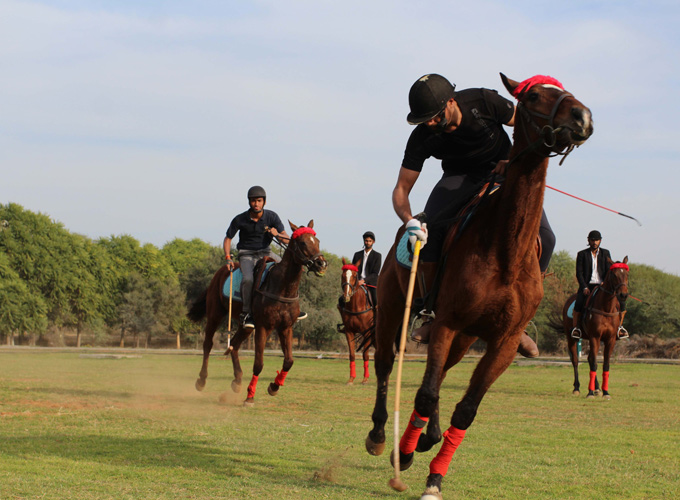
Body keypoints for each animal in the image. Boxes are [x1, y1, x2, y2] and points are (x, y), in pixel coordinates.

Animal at [364, 72, 592, 498]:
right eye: (533, 96)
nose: (582, 117)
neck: (505, 252)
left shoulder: (502, 340)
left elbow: (465, 408)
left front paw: (434, 476)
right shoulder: (447, 321)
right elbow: (425, 394)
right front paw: (404, 455)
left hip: (465, 336)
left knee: (440, 375)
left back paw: (427, 436)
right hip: (393, 309)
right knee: (387, 365)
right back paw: (381, 436)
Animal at [560, 258, 628, 398]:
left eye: (627, 274)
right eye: (614, 275)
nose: (623, 295)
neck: (606, 308)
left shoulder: (610, 339)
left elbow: (605, 364)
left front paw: (605, 392)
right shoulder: (595, 337)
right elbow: (594, 363)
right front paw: (590, 392)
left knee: (589, 359)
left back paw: (597, 388)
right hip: (571, 338)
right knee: (576, 360)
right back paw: (577, 388)